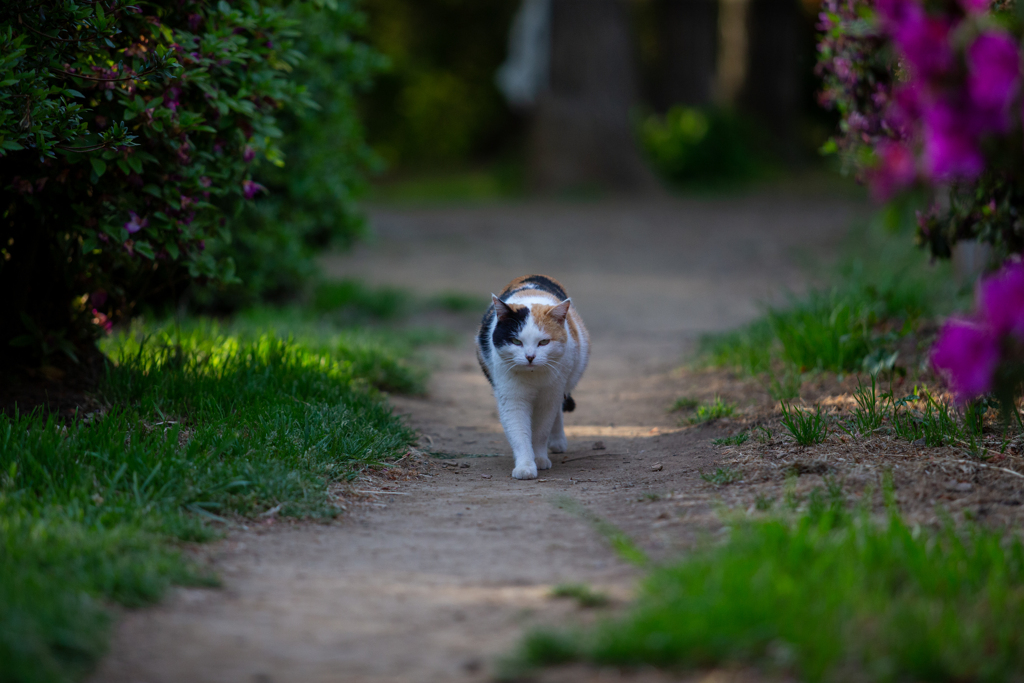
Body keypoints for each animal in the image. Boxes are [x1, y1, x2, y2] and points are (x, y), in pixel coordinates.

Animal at [473, 274, 589, 481]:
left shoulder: (549, 397)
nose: (529, 357)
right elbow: (519, 432)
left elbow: (541, 431)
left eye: (543, 342)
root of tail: (532, 277)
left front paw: (540, 458)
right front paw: (526, 466)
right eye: (515, 341)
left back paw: (558, 441)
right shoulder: (512, 398)